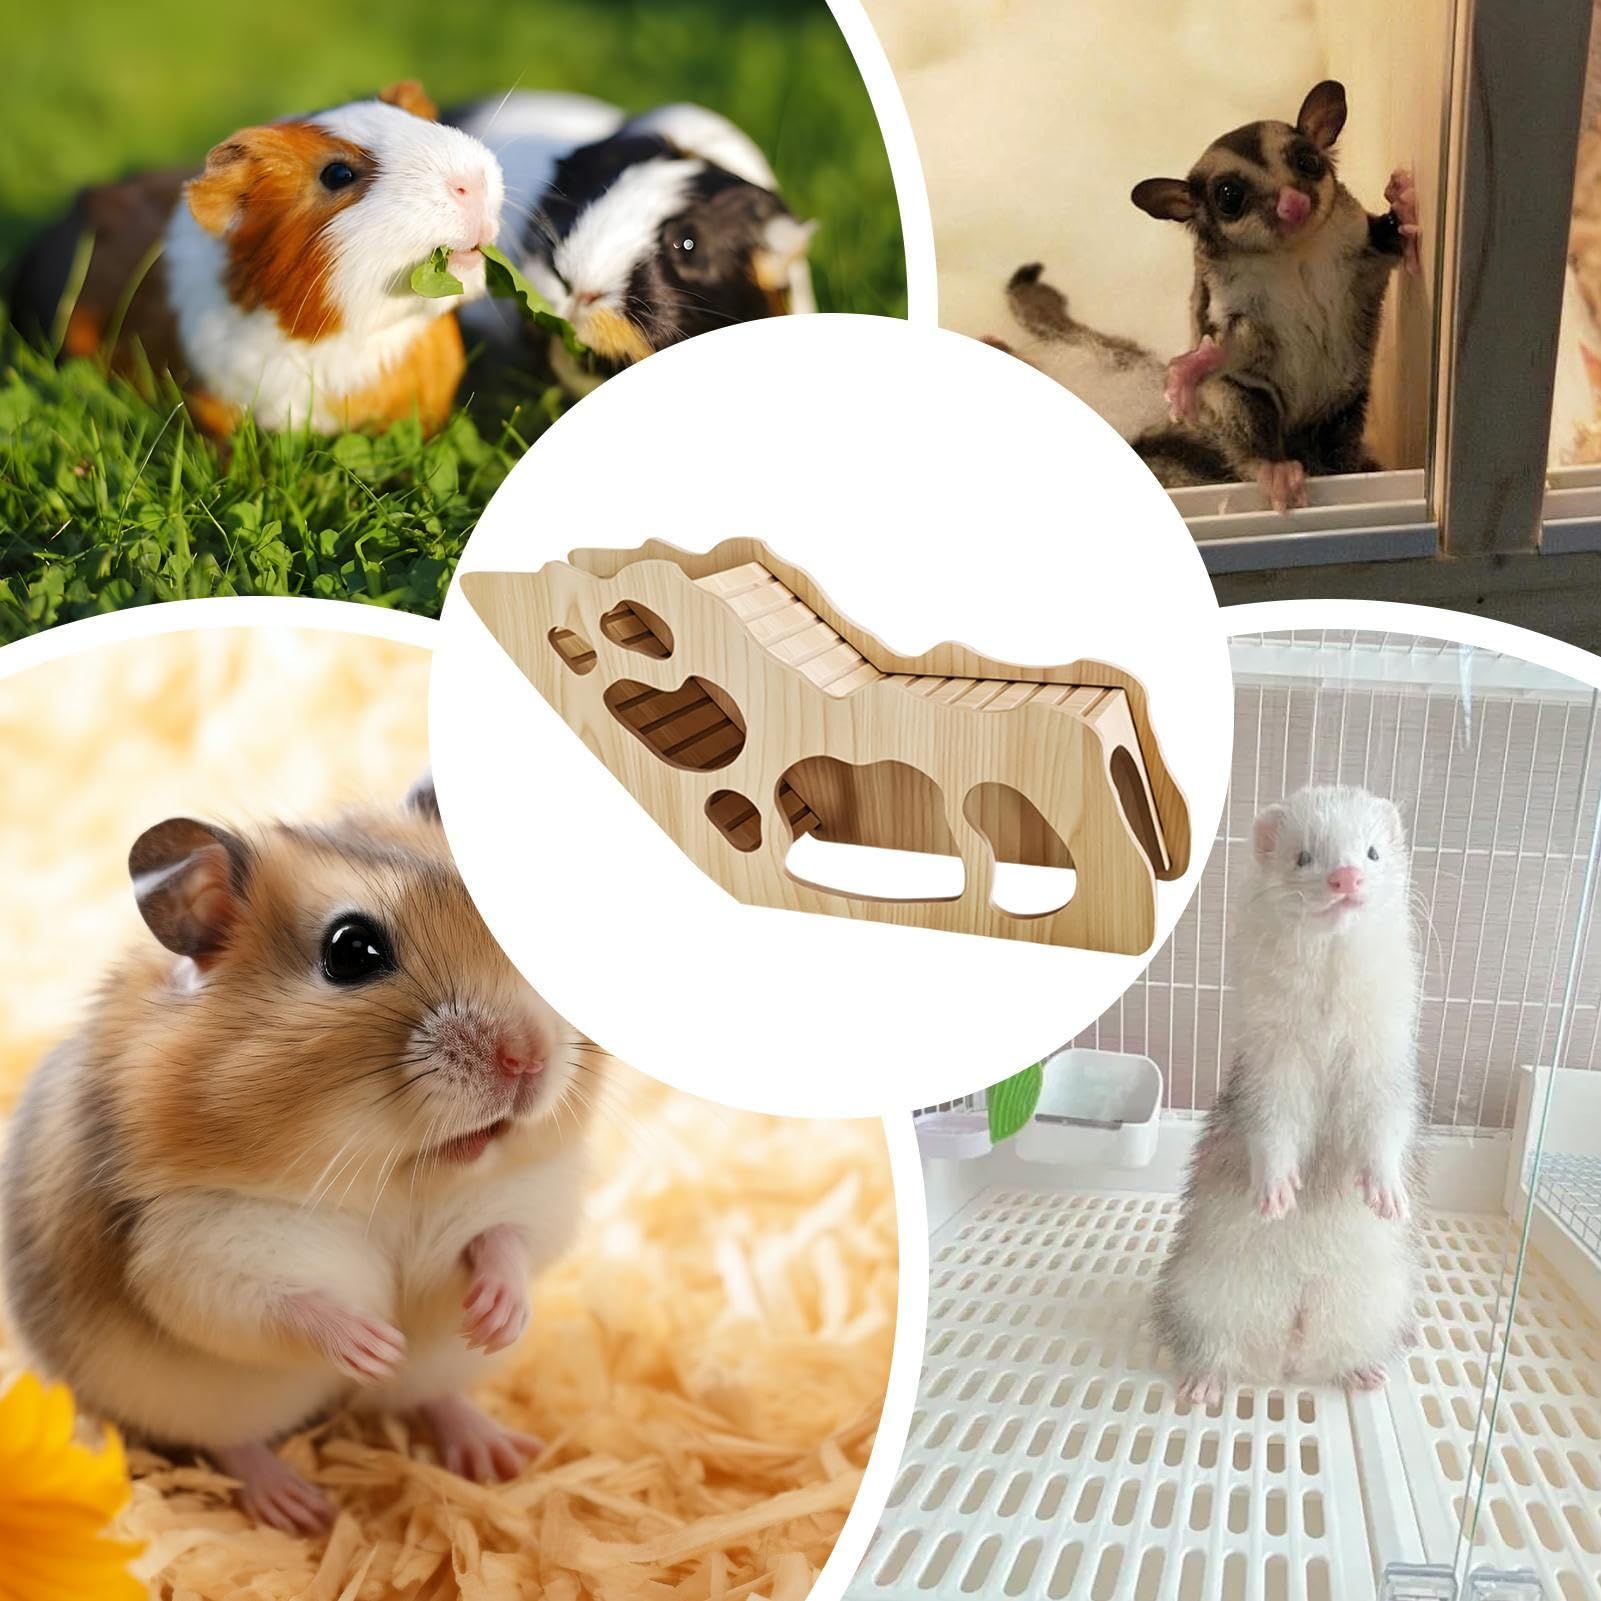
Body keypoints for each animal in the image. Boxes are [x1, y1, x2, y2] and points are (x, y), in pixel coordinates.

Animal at [0, 777, 596, 1534]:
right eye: (352, 950)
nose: (528, 1057)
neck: (398, 1175)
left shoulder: (529, 1192)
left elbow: (508, 1241)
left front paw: (495, 1319)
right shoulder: (196, 1247)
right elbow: (285, 1304)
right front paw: (374, 1345)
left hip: (441, 1367)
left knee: (431, 1396)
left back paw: (500, 1453)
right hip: (198, 1398)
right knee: (233, 1443)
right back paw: (299, 1505)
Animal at [1129, 81, 1420, 510]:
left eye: (1307, 161)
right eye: (1229, 196)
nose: (1294, 203)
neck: (1292, 254)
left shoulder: (1358, 247)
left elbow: (1385, 242)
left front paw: (1402, 200)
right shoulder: (1234, 300)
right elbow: (1234, 346)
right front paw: (1193, 368)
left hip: (1342, 407)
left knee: (1339, 436)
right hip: (1237, 403)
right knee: (1245, 410)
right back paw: (1275, 469)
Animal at [1151, 785, 1424, 1400]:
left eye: (1372, 851)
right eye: (1303, 855)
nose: (1346, 876)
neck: (1328, 1030)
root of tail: (1289, 1350)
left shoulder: (1385, 1067)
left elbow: (1385, 1126)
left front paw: (1386, 1191)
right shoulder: (1270, 1070)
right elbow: (1272, 1131)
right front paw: (1276, 1191)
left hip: (1380, 1300)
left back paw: (1362, 1371)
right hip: (1197, 1291)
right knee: (1213, 1343)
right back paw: (1204, 1381)